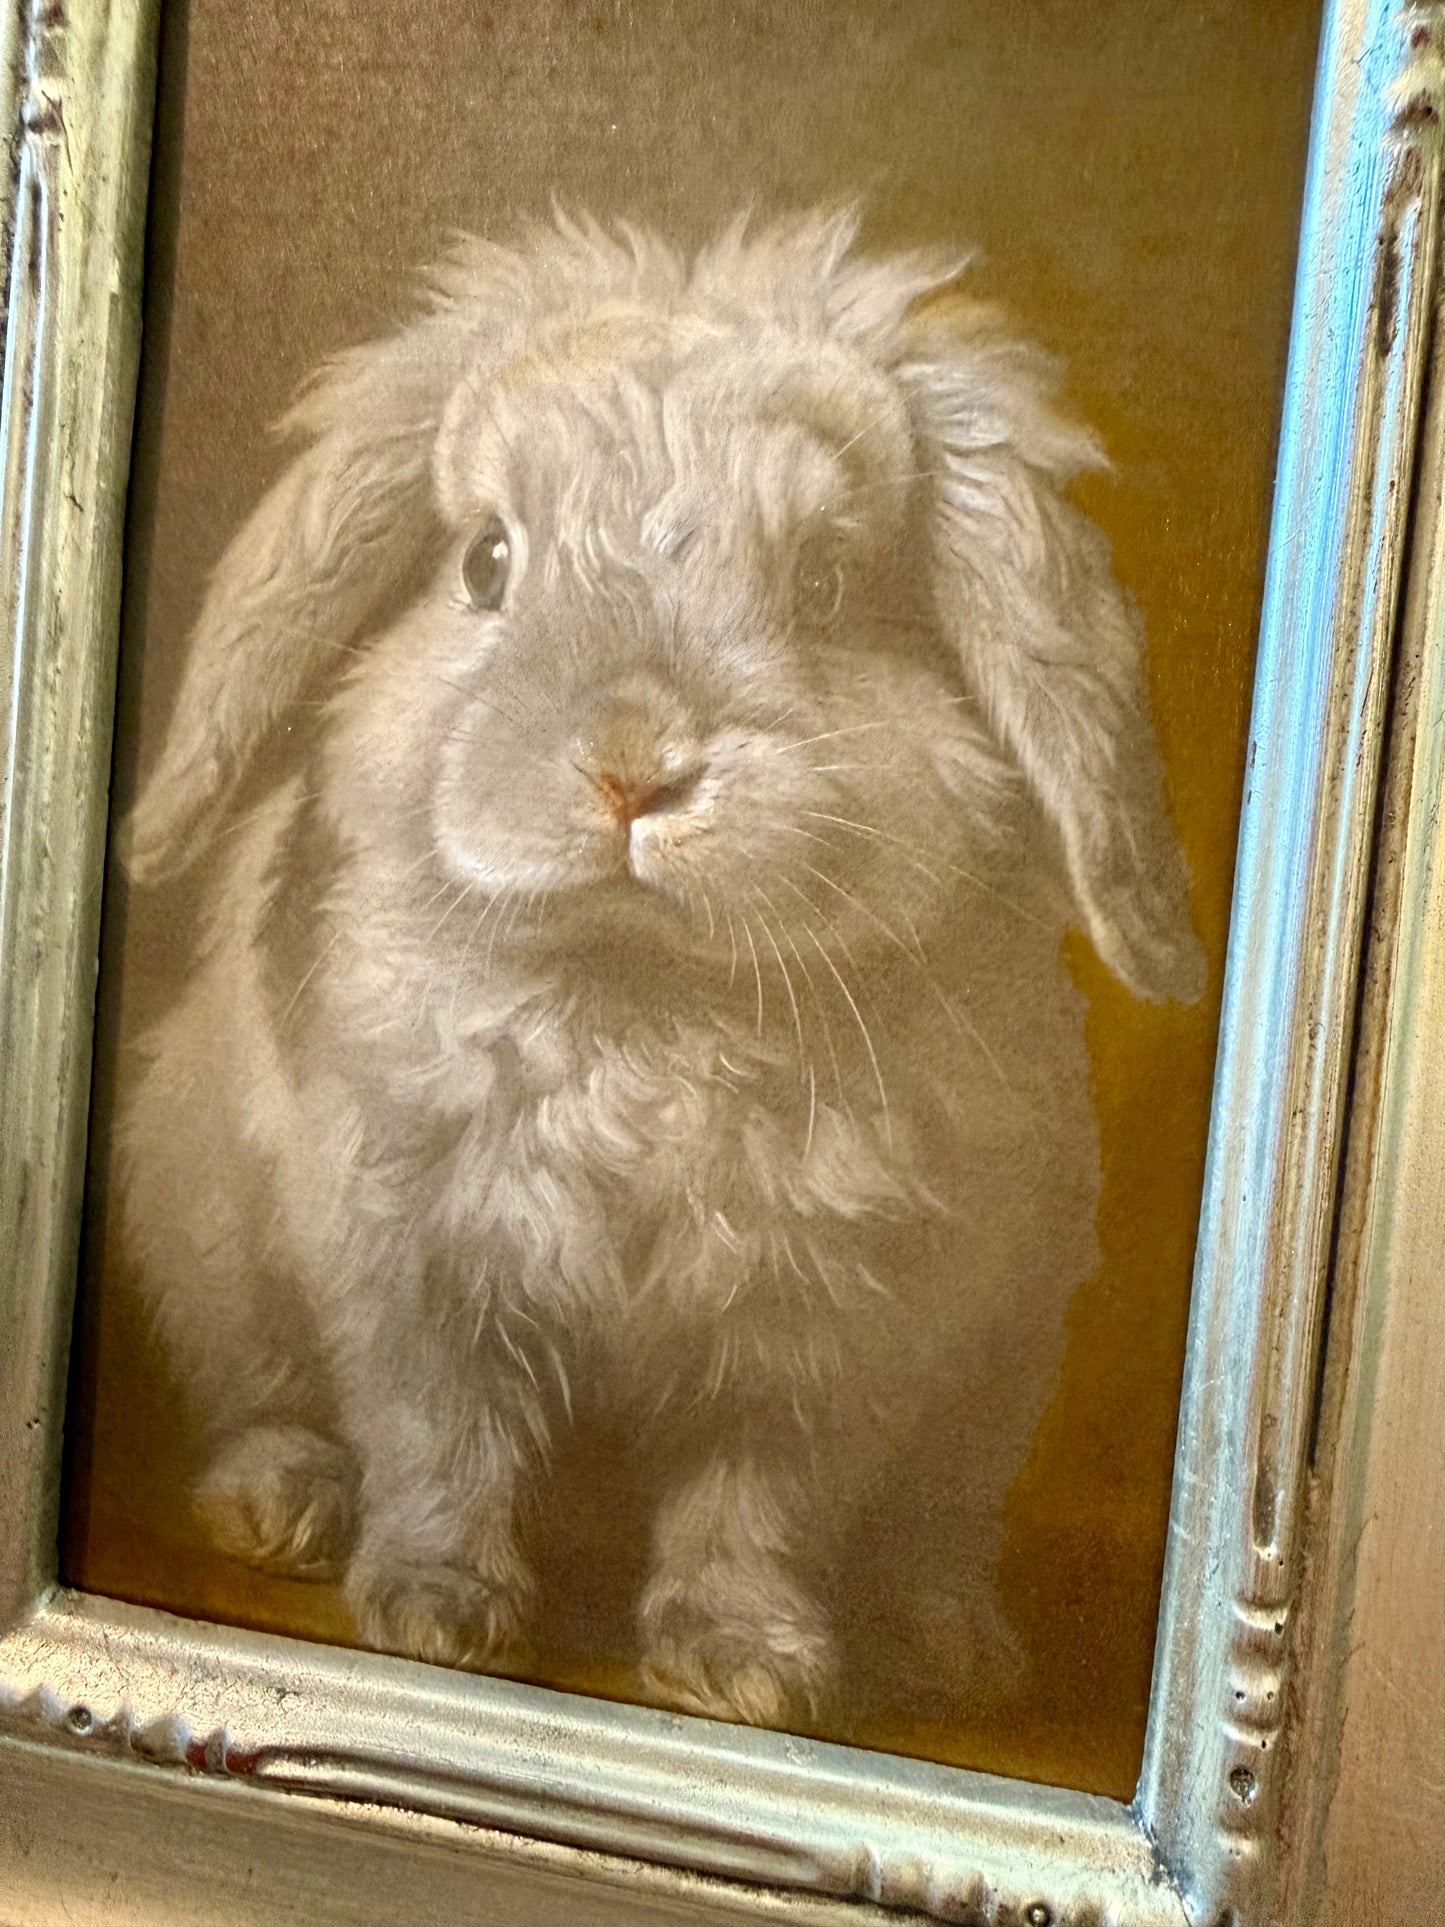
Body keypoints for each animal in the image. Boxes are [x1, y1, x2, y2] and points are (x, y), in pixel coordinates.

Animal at [116, 209, 1204, 1728]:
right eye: (485, 563)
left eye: (825, 586)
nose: (633, 765)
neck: (644, 996)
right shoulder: (412, 1257)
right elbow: (440, 1436)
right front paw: (434, 1611)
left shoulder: (823, 1330)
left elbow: (756, 1502)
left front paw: (743, 1668)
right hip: (205, 1221)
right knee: (266, 1390)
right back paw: (279, 1503)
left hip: (999, 1372)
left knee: (937, 1524)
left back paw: (952, 1641)